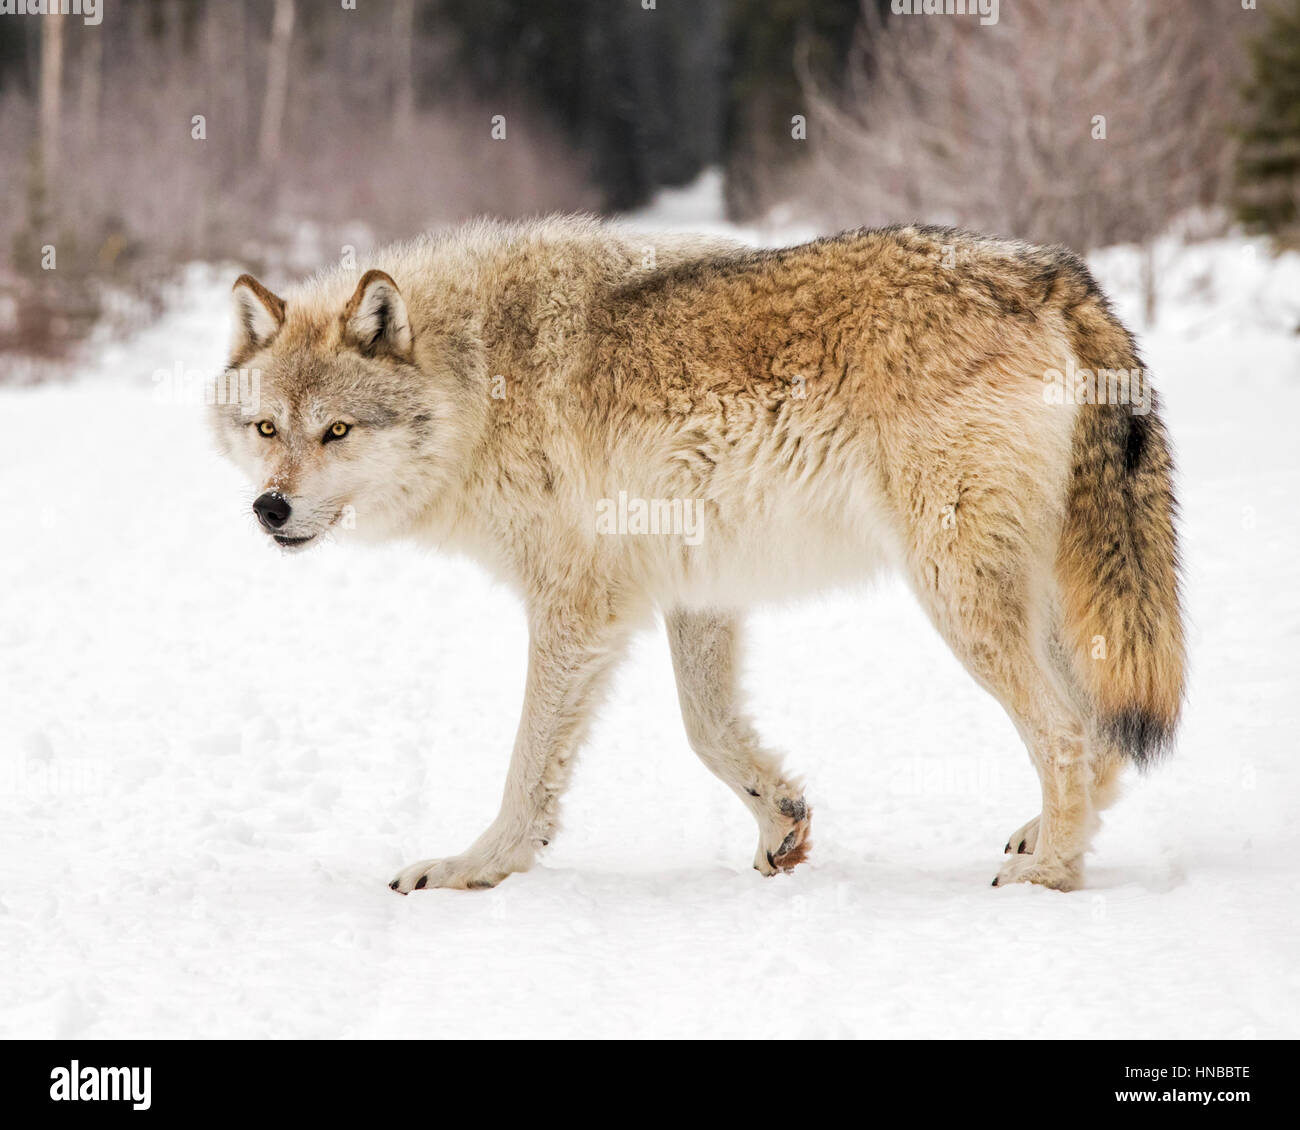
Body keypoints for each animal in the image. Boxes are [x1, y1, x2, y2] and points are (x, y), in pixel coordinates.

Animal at [211, 217, 1184, 893]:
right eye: (266, 430)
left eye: (337, 432)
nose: (269, 508)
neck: (479, 382)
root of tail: (1050, 271)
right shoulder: (695, 588)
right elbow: (709, 730)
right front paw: (781, 825)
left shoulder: (577, 610)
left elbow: (528, 767)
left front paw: (474, 867)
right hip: (1037, 594)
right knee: (1099, 729)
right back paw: (1045, 834)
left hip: (958, 595)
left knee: (1066, 732)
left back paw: (1049, 872)